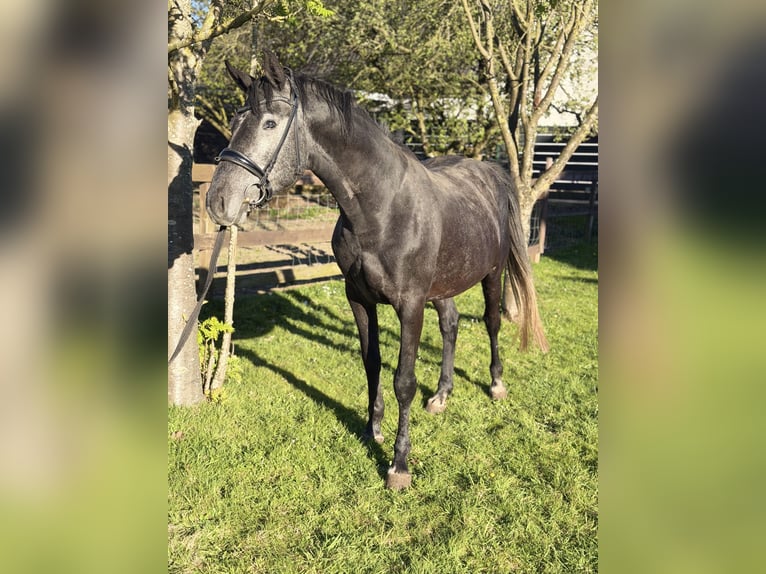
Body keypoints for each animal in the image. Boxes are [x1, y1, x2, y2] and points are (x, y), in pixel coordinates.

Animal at [206, 53, 549, 490]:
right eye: (235, 120)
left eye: (269, 123)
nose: (218, 201)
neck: (381, 209)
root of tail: (491, 173)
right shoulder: (358, 298)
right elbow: (371, 364)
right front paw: (373, 430)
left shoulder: (410, 305)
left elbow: (404, 379)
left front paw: (399, 465)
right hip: (443, 286)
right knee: (451, 324)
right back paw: (441, 395)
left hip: (491, 275)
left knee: (490, 322)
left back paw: (496, 384)